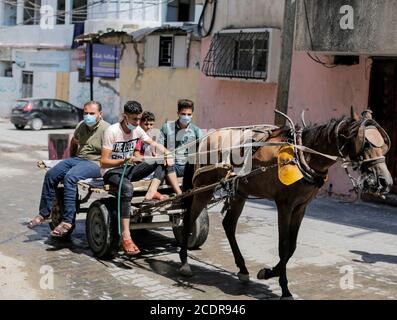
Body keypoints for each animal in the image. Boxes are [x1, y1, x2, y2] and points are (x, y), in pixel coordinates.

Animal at [177, 108, 392, 300]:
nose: (385, 182)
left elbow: (293, 247)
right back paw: (184, 262)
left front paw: (269, 272)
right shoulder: (284, 205)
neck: (304, 156)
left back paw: (243, 269)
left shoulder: (301, 207)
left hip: (239, 192)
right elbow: (284, 246)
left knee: (228, 225)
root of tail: (205, 138)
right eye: (366, 143)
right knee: (188, 218)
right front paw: (283, 287)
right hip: (203, 187)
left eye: (383, 145)